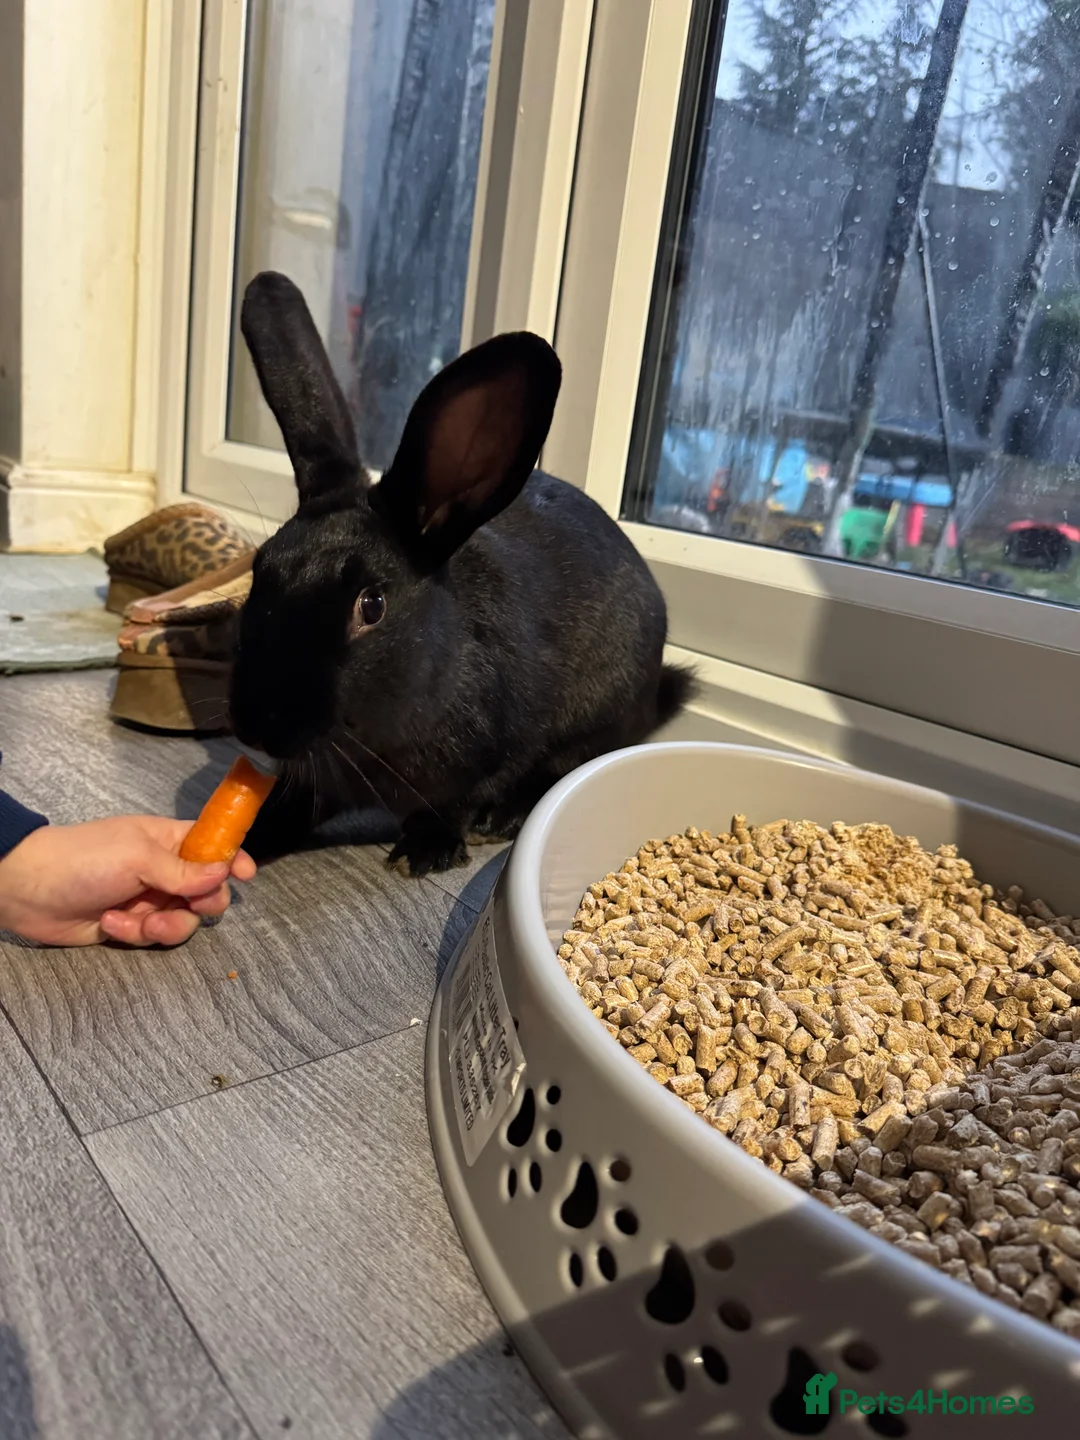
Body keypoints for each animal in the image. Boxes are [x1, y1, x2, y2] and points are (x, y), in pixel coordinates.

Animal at [229, 271, 695, 875]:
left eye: (371, 605)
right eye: (259, 570)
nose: (257, 722)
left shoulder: (491, 757)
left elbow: (458, 801)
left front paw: (422, 853)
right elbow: (296, 803)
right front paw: (249, 837)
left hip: (597, 717)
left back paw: (504, 819)